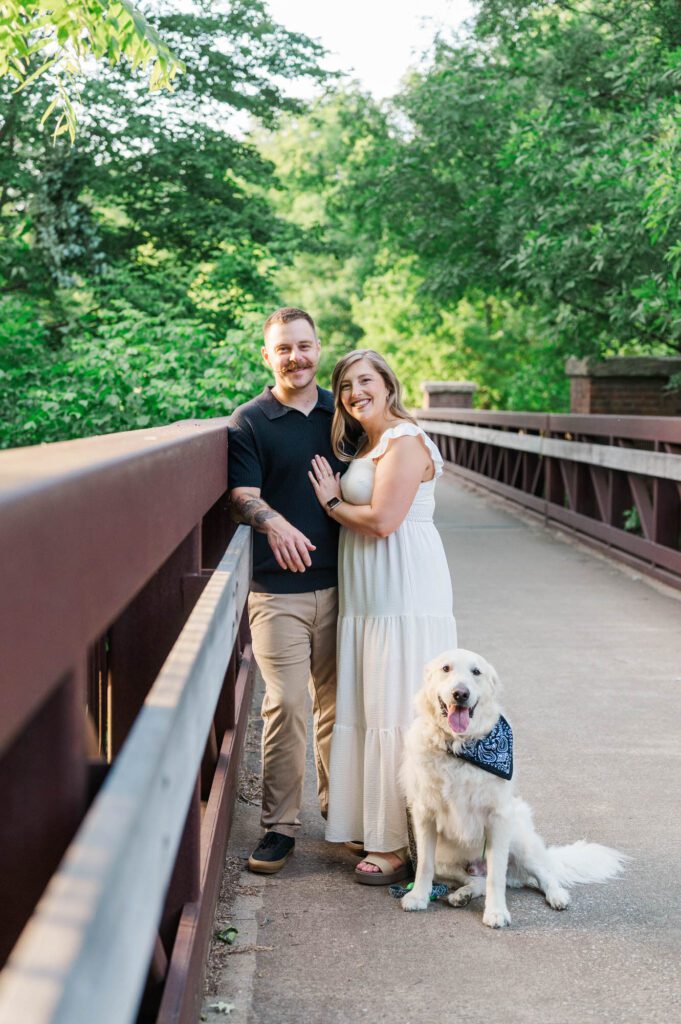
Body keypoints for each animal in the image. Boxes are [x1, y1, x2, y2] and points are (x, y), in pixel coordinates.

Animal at [399, 647, 626, 929]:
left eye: (476, 672)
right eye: (446, 669)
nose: (461, 694)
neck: (461, 749)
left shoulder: (498, 818)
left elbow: (496, 876)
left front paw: (496, 912)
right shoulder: (424, 814)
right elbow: (424, 866)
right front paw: (418, 896)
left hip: (518, 840)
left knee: (543, 873)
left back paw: (557, 896)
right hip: (447, 860)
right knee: (476, 880)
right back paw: (462, 895)